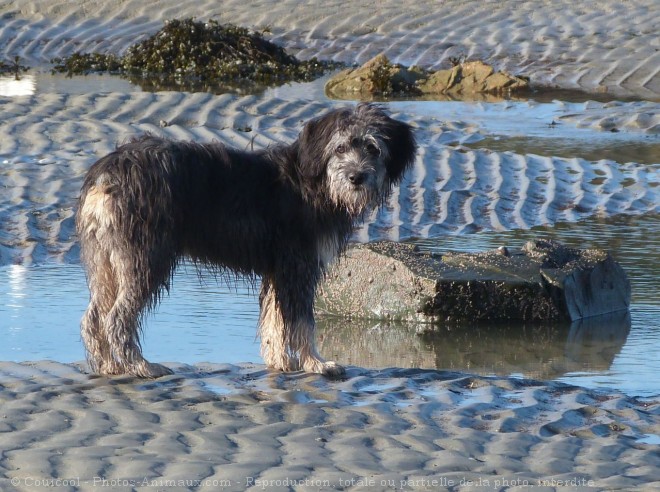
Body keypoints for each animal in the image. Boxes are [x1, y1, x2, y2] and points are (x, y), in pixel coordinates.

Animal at [77, 103, 416, 376]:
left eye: (373, 148)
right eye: (341, 148)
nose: (357, 177)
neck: (315, 182)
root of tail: (108, 171)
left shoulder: (278, 268)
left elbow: (274, 319)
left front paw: (280, 361)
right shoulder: (298, 264)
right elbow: (302, 322)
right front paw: (316, 363)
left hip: (105, 258)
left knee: (93, 317)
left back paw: (107, 365)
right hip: (147, 257)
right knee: (117, 318)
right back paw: (139, 366)